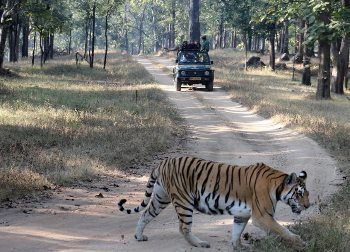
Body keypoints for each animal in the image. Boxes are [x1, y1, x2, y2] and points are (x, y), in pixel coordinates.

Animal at [117, 156, 308, 248]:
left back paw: (139, 236)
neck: (277, 185)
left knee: (145, 214)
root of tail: (163, 162)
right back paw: (200, 244)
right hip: (183, 201)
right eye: (299, 194)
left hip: (160, 198)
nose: (307, 206)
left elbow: (237, 231)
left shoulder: (242, 215)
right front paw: (301, 242)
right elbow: (282, 230)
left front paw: (238, 246)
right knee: (183, 227)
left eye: (307, 194)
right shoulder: (263, 216)